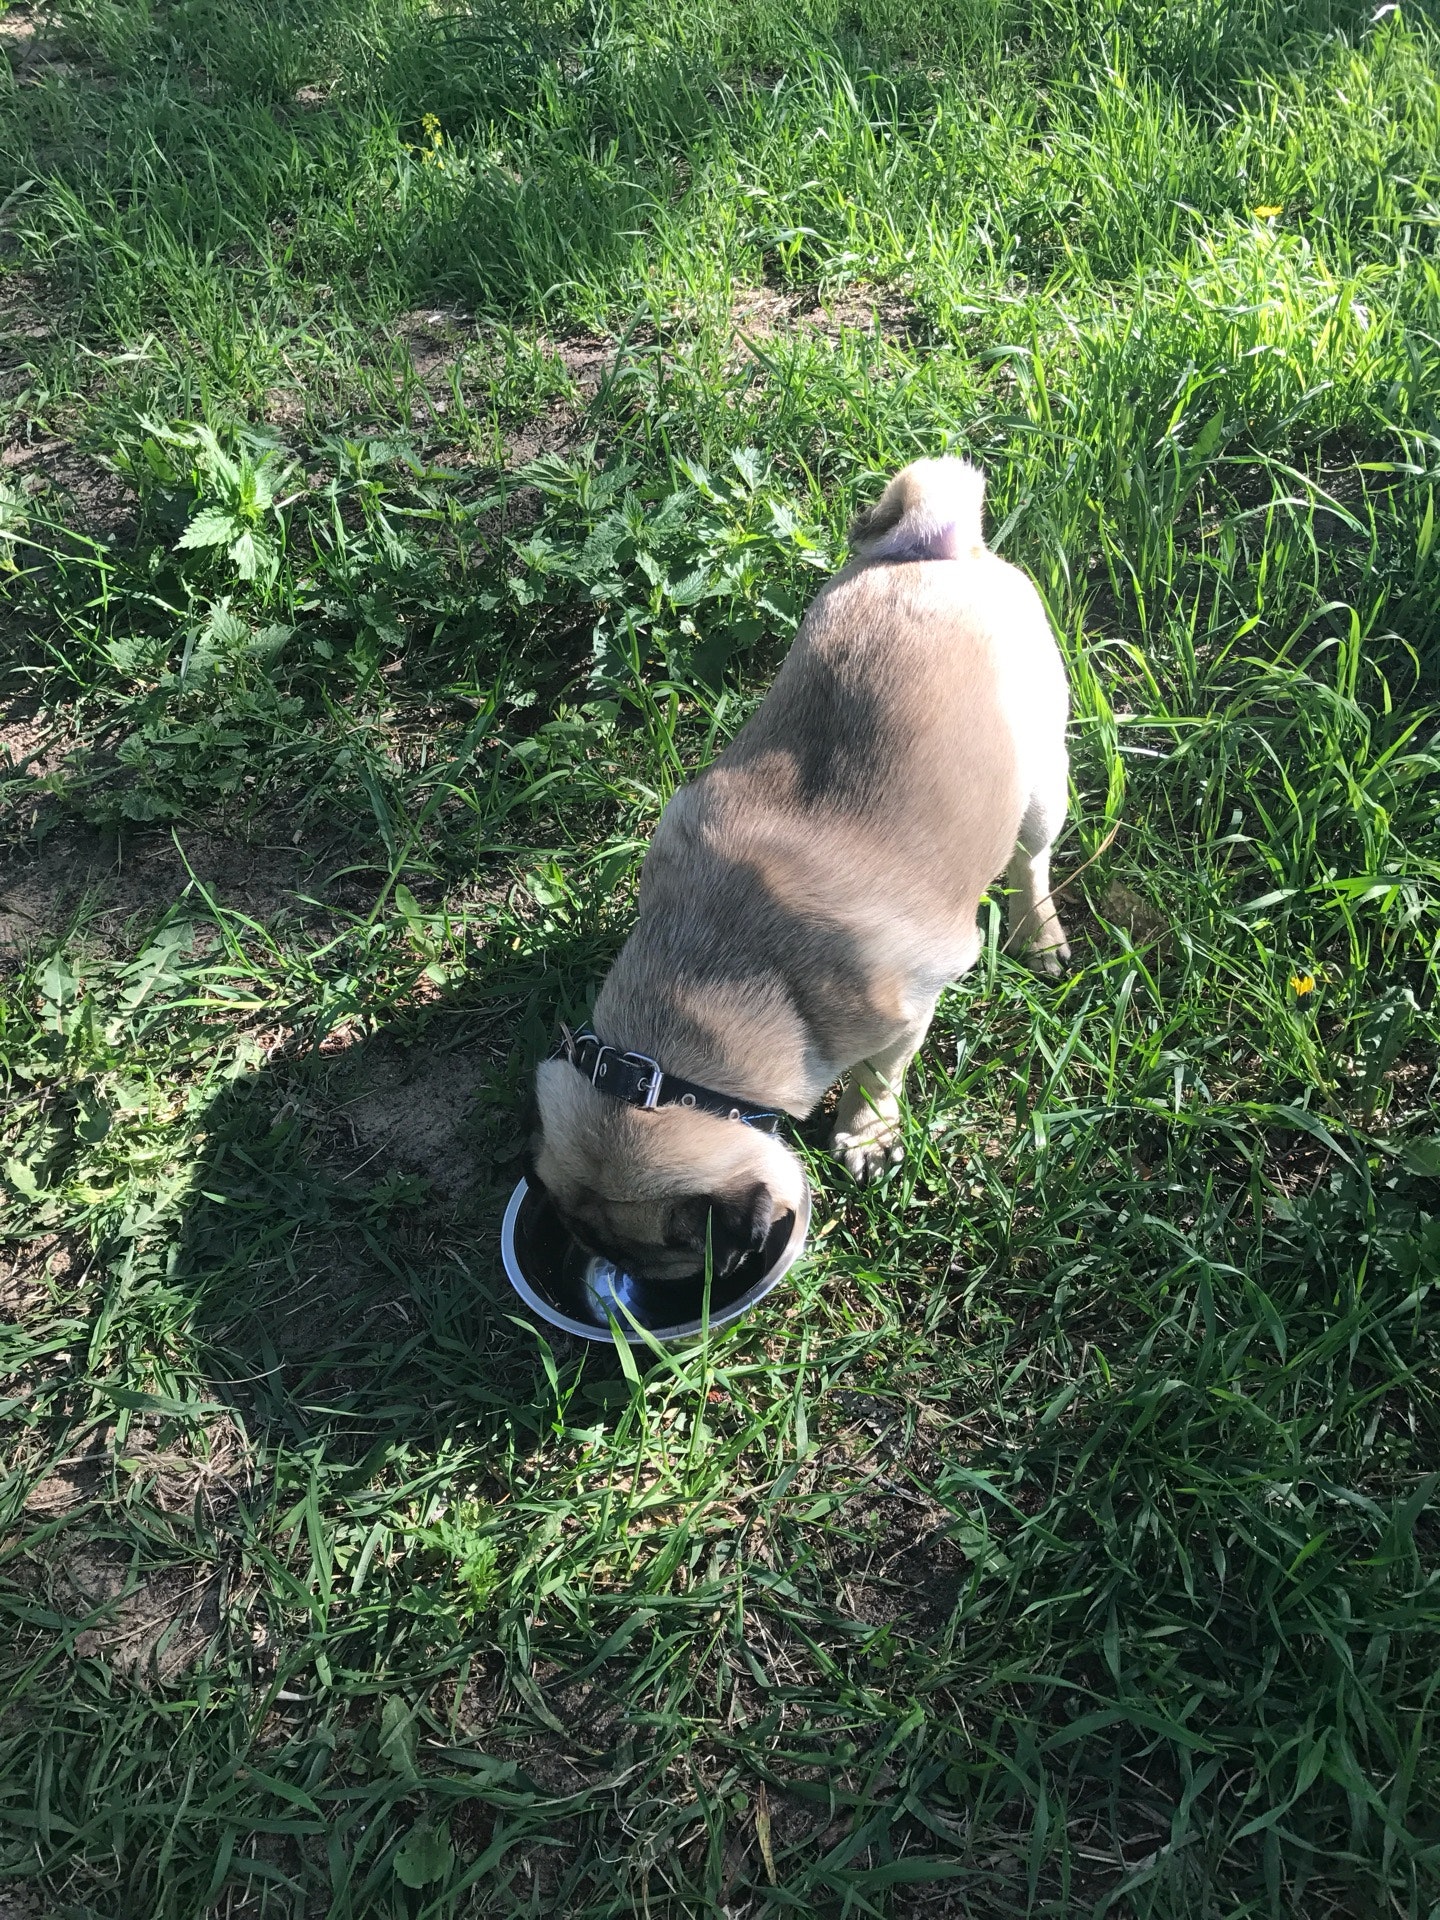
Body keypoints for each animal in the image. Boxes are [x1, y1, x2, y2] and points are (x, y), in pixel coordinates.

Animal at [528, 456, 1070, 1280]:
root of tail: (934, 548)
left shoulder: (906, 1016)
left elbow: (878, 1074)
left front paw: (866, 1132)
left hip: (1041, 779)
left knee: (1030, 861)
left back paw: (1039, 938)